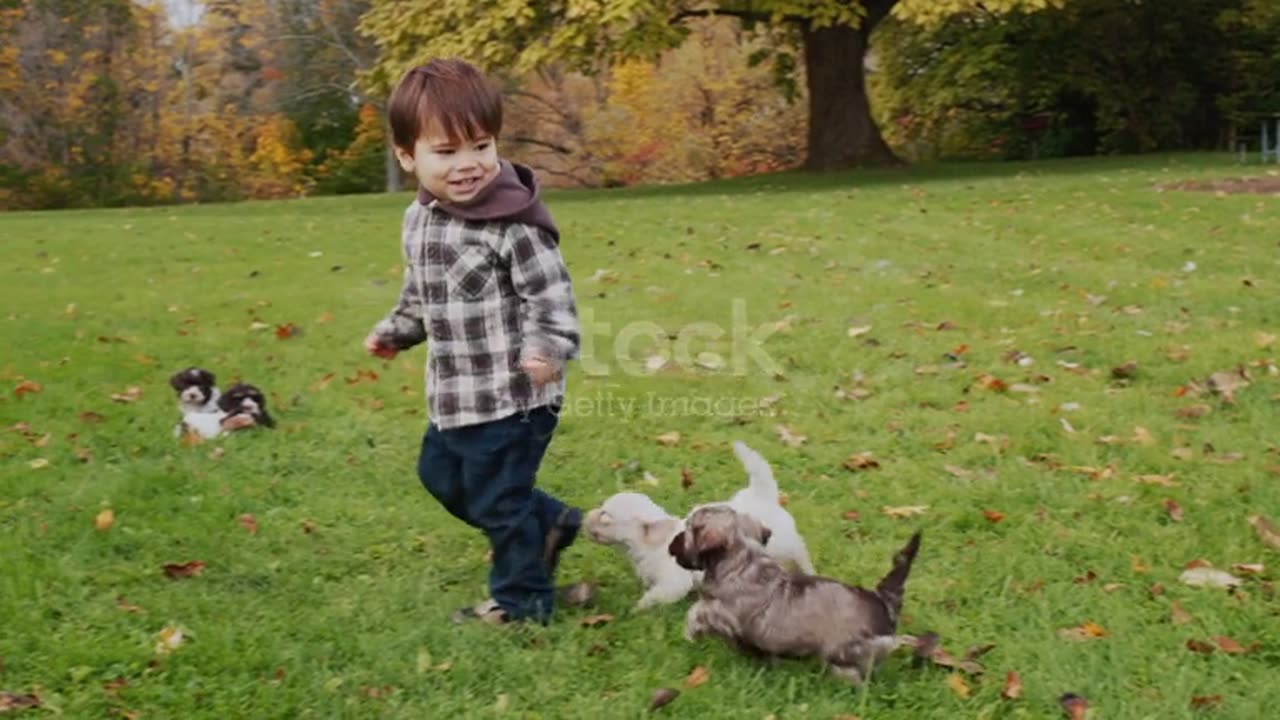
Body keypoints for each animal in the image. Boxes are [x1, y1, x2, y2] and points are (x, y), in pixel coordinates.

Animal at [586, 440, 814, 607]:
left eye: (605, 516)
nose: (585, 517)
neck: (651, 544)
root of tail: (762, 496)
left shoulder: (674, 582)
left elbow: (654, 596)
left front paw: (637, 608)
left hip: (785, 543)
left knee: (800, 551)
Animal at [670, 504, 921, 681]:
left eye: (688, 531)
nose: (671, 545)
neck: (743, 560)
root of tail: (881, 601)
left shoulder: (725, 613)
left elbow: (697, 611)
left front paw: (689, 634)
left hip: (842, 652)